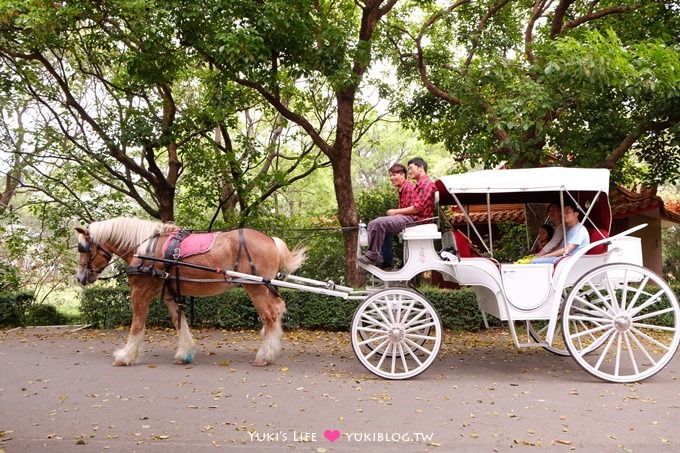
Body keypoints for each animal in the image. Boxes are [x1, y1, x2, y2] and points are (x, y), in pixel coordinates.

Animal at [75, 216, 306, 368]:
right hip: (265, 287)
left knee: (269, 316)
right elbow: (179, 322)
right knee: (277, 312)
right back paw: (271, 351)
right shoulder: (169, 294)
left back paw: (264, 356)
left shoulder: (140, 293)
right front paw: (184, 353)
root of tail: (271, 240)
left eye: (83, 249)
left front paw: (126, 356)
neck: (145, 248)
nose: (80, 277)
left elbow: (137, 325)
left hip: (255, 287)